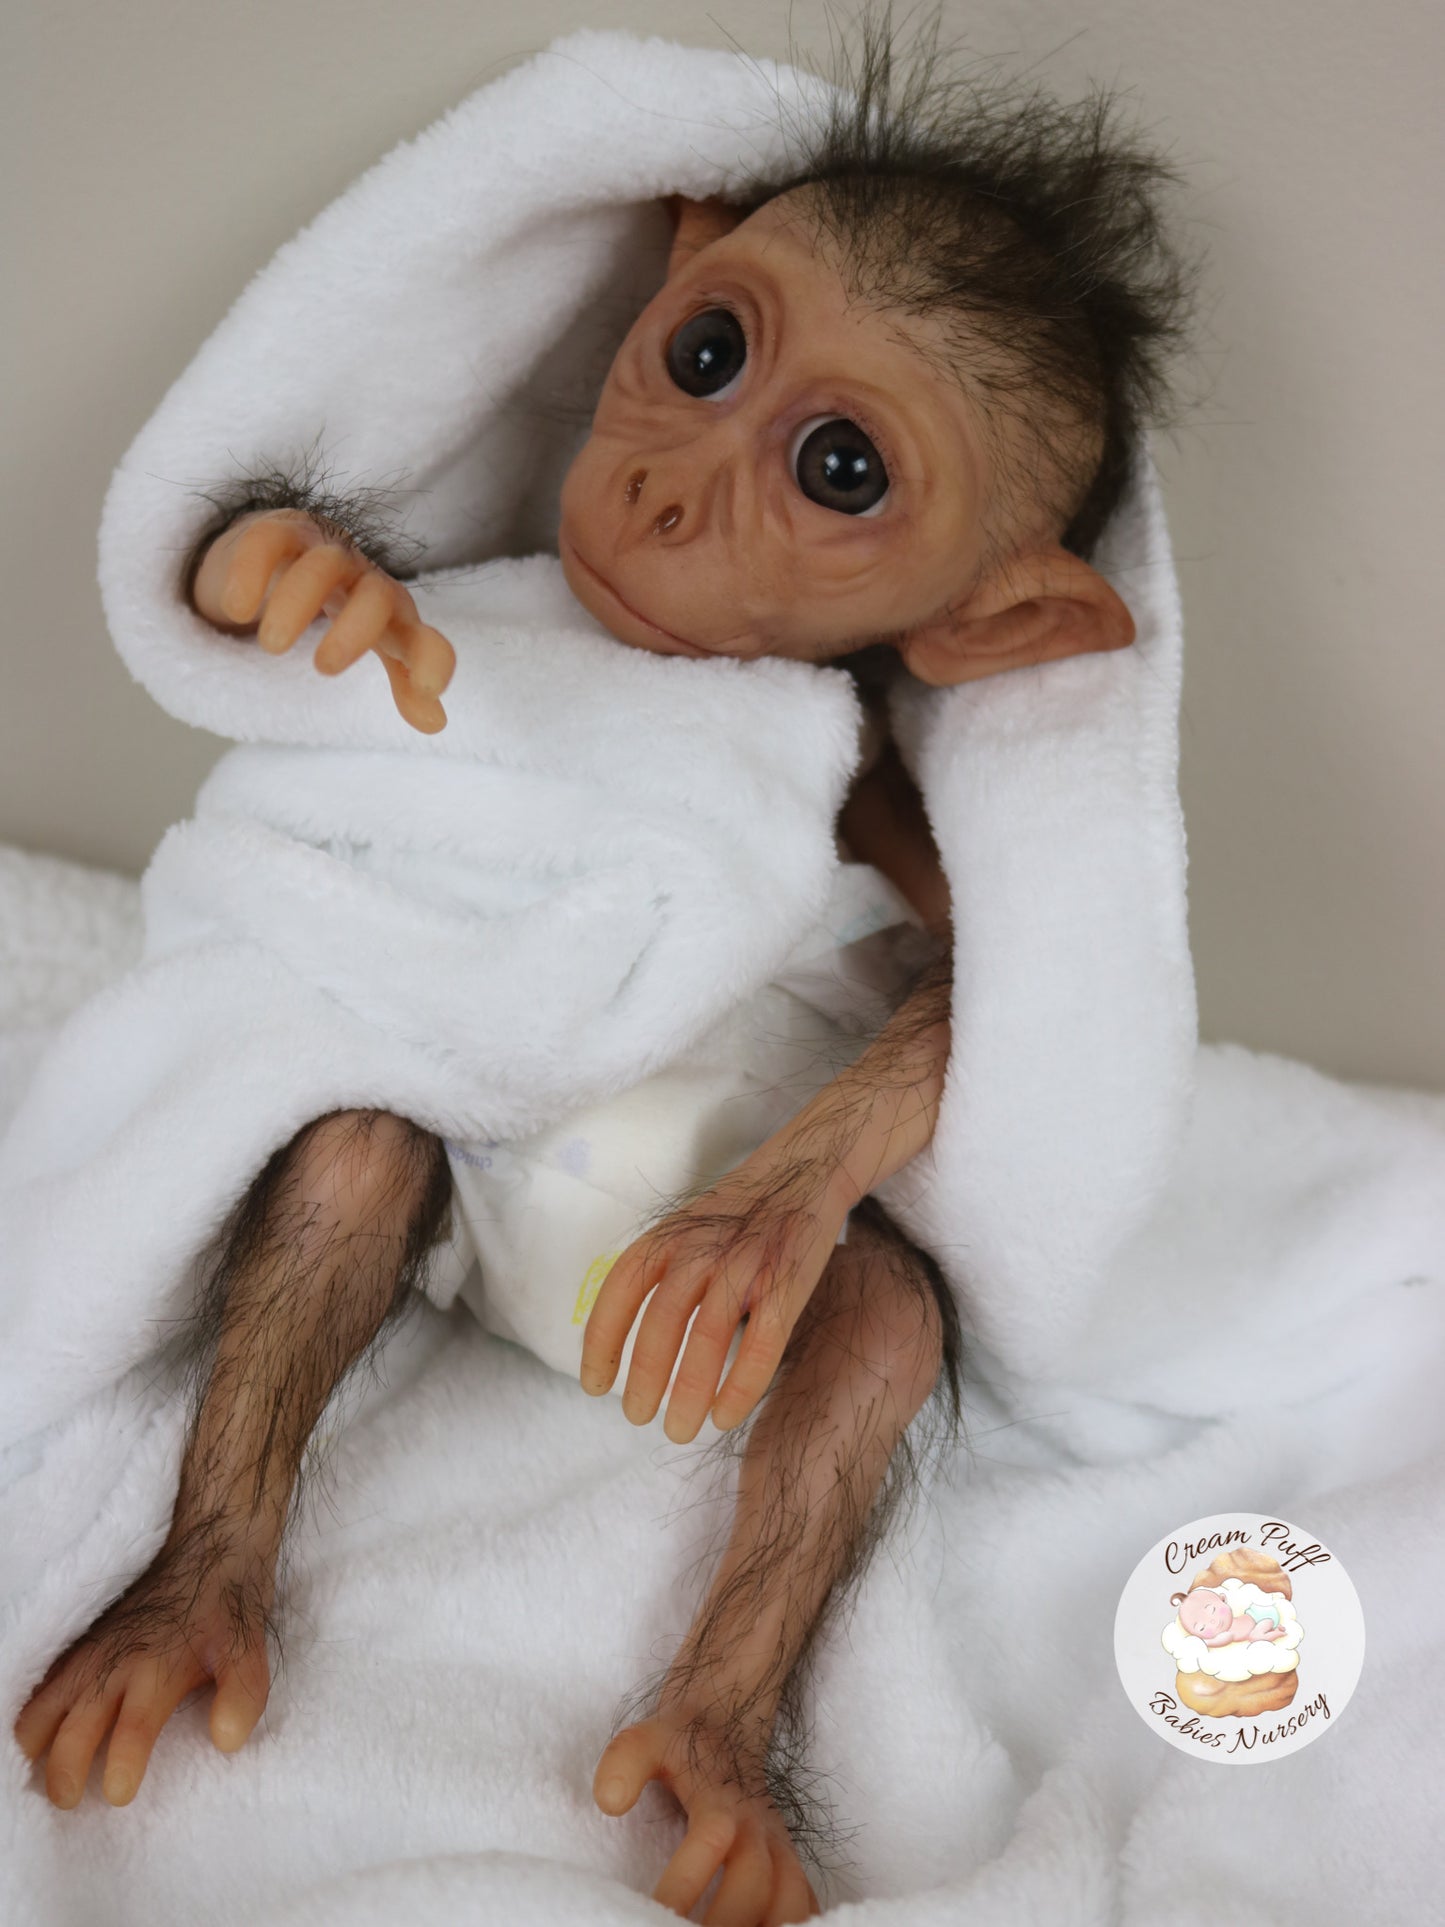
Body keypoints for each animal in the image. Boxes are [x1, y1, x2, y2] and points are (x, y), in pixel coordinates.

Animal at [14, 11, 1192, 1922]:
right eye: (704, 350)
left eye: (841, 468)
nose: (658, 485)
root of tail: (537, 1346)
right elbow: (260, 588)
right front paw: (306, 572)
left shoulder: (880, 782)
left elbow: (958, 977)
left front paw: (750, 1226)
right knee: (350, 1160)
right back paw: (180, 1612)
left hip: (776, 1358)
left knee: (875, 1316)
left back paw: (711, 1759)